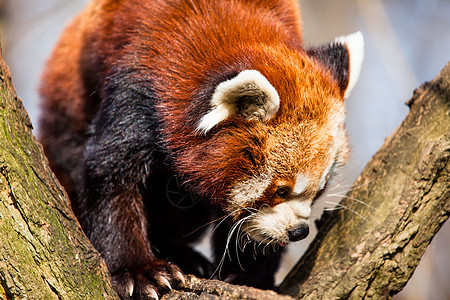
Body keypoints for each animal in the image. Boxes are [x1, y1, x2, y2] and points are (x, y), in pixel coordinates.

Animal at [37, 1, 362, 298]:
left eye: (320, 190)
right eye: (281, 190)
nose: (298, 232)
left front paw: (250, 275)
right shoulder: (137, 87)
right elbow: (110, 175)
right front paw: (138, 271)